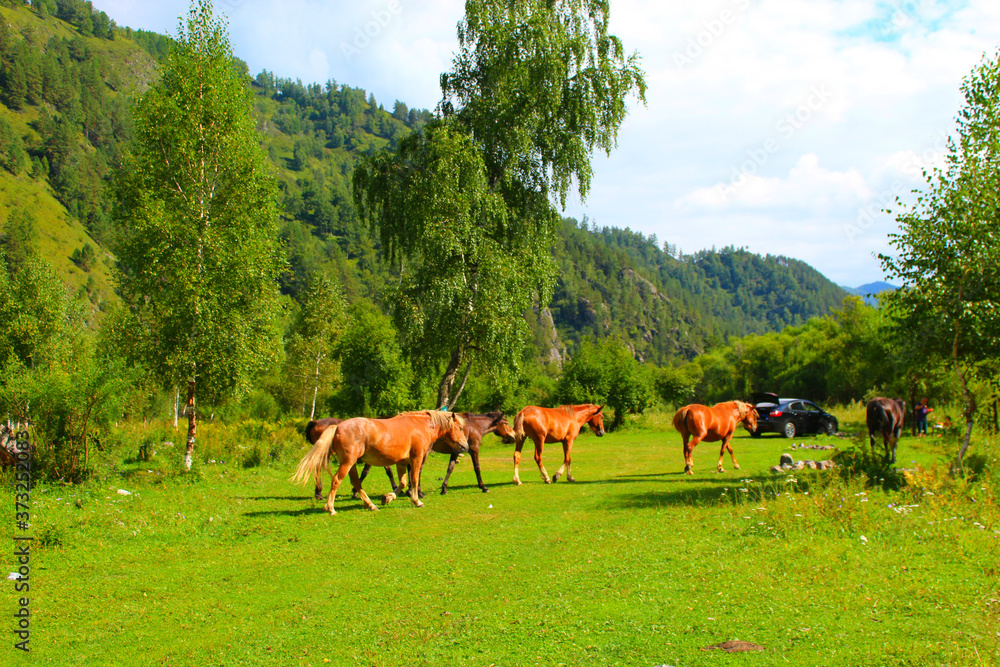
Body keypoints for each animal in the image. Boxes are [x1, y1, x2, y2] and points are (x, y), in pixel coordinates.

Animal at [292, 411, 467, 515]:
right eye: (459, 428)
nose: (465, 446)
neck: (419, 426)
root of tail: (337, 427)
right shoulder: (416, 458)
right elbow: (414, 479)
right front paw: (417, 501)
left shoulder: (401, 462)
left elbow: (403, 483)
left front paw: (387, 498)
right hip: (347, 462)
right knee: (336, 480)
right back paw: (330, 508)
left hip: (352, 464)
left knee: (356, 483)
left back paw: (370, 505)